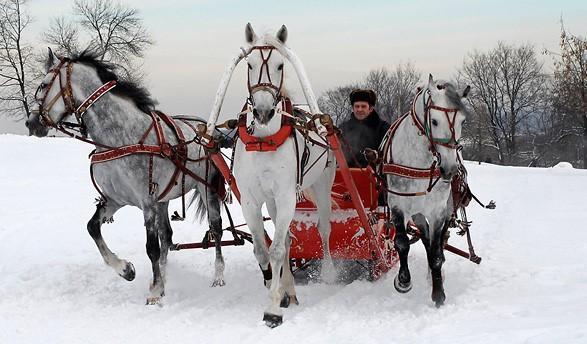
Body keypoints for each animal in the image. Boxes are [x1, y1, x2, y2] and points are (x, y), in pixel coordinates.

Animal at [27, 49, 230, 304]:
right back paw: (164, 276)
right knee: (167, 236)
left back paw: (218, 275)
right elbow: (92, 227)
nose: (31, 123)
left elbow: (151, 247)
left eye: (43, 85)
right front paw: (126, 270)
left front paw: (154, 292)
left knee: (216, 229)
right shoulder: (115, 200)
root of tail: (206, 130)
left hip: (207, 188)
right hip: (164, 199)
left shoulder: (147, 202)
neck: (120, 139)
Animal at [229, 24, 336, 328]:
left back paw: (328, 272)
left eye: (280, 65)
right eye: (249, 64)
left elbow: (276, 250)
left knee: (324, 230)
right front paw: (276, 289)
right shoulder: (251, 200)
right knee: (286, 238)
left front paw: (273, 309)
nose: (264, 111)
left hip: (323, 185)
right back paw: (288, 289)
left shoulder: (288, 196)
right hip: (272, 200)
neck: (264, 140)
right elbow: (263, 249)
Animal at [384, 75, 470, 306]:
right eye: (435, 121)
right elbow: (402, 243)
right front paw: (403, 280)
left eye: (462, 122)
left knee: (435, 242)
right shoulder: (397, 204)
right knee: (424, 237)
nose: (449, 169)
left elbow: (436, 253)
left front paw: (438, 293)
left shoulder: (438, 211)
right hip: (416, 212)